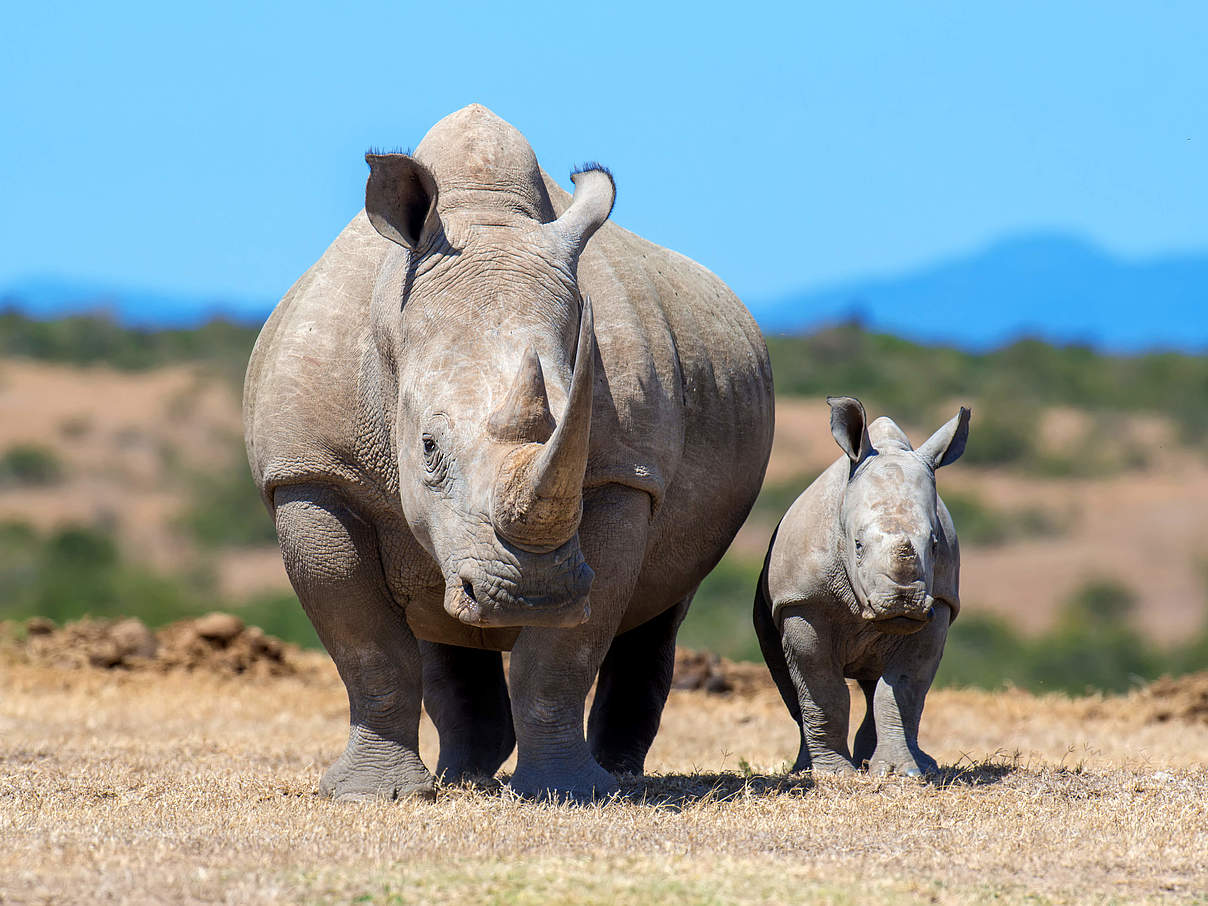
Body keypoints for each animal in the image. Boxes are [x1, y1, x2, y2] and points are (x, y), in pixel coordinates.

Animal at [753, 401, 971, 777]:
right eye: (857, 545)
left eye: (934, 545)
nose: (902, 601)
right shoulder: (802, 603)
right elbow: (823, 689)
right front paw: (833, 774)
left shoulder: (941, 602)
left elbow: (902, 689)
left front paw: (901, 772)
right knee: (790, 682)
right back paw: (806, 770)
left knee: (875, 684)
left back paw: (907, 764)